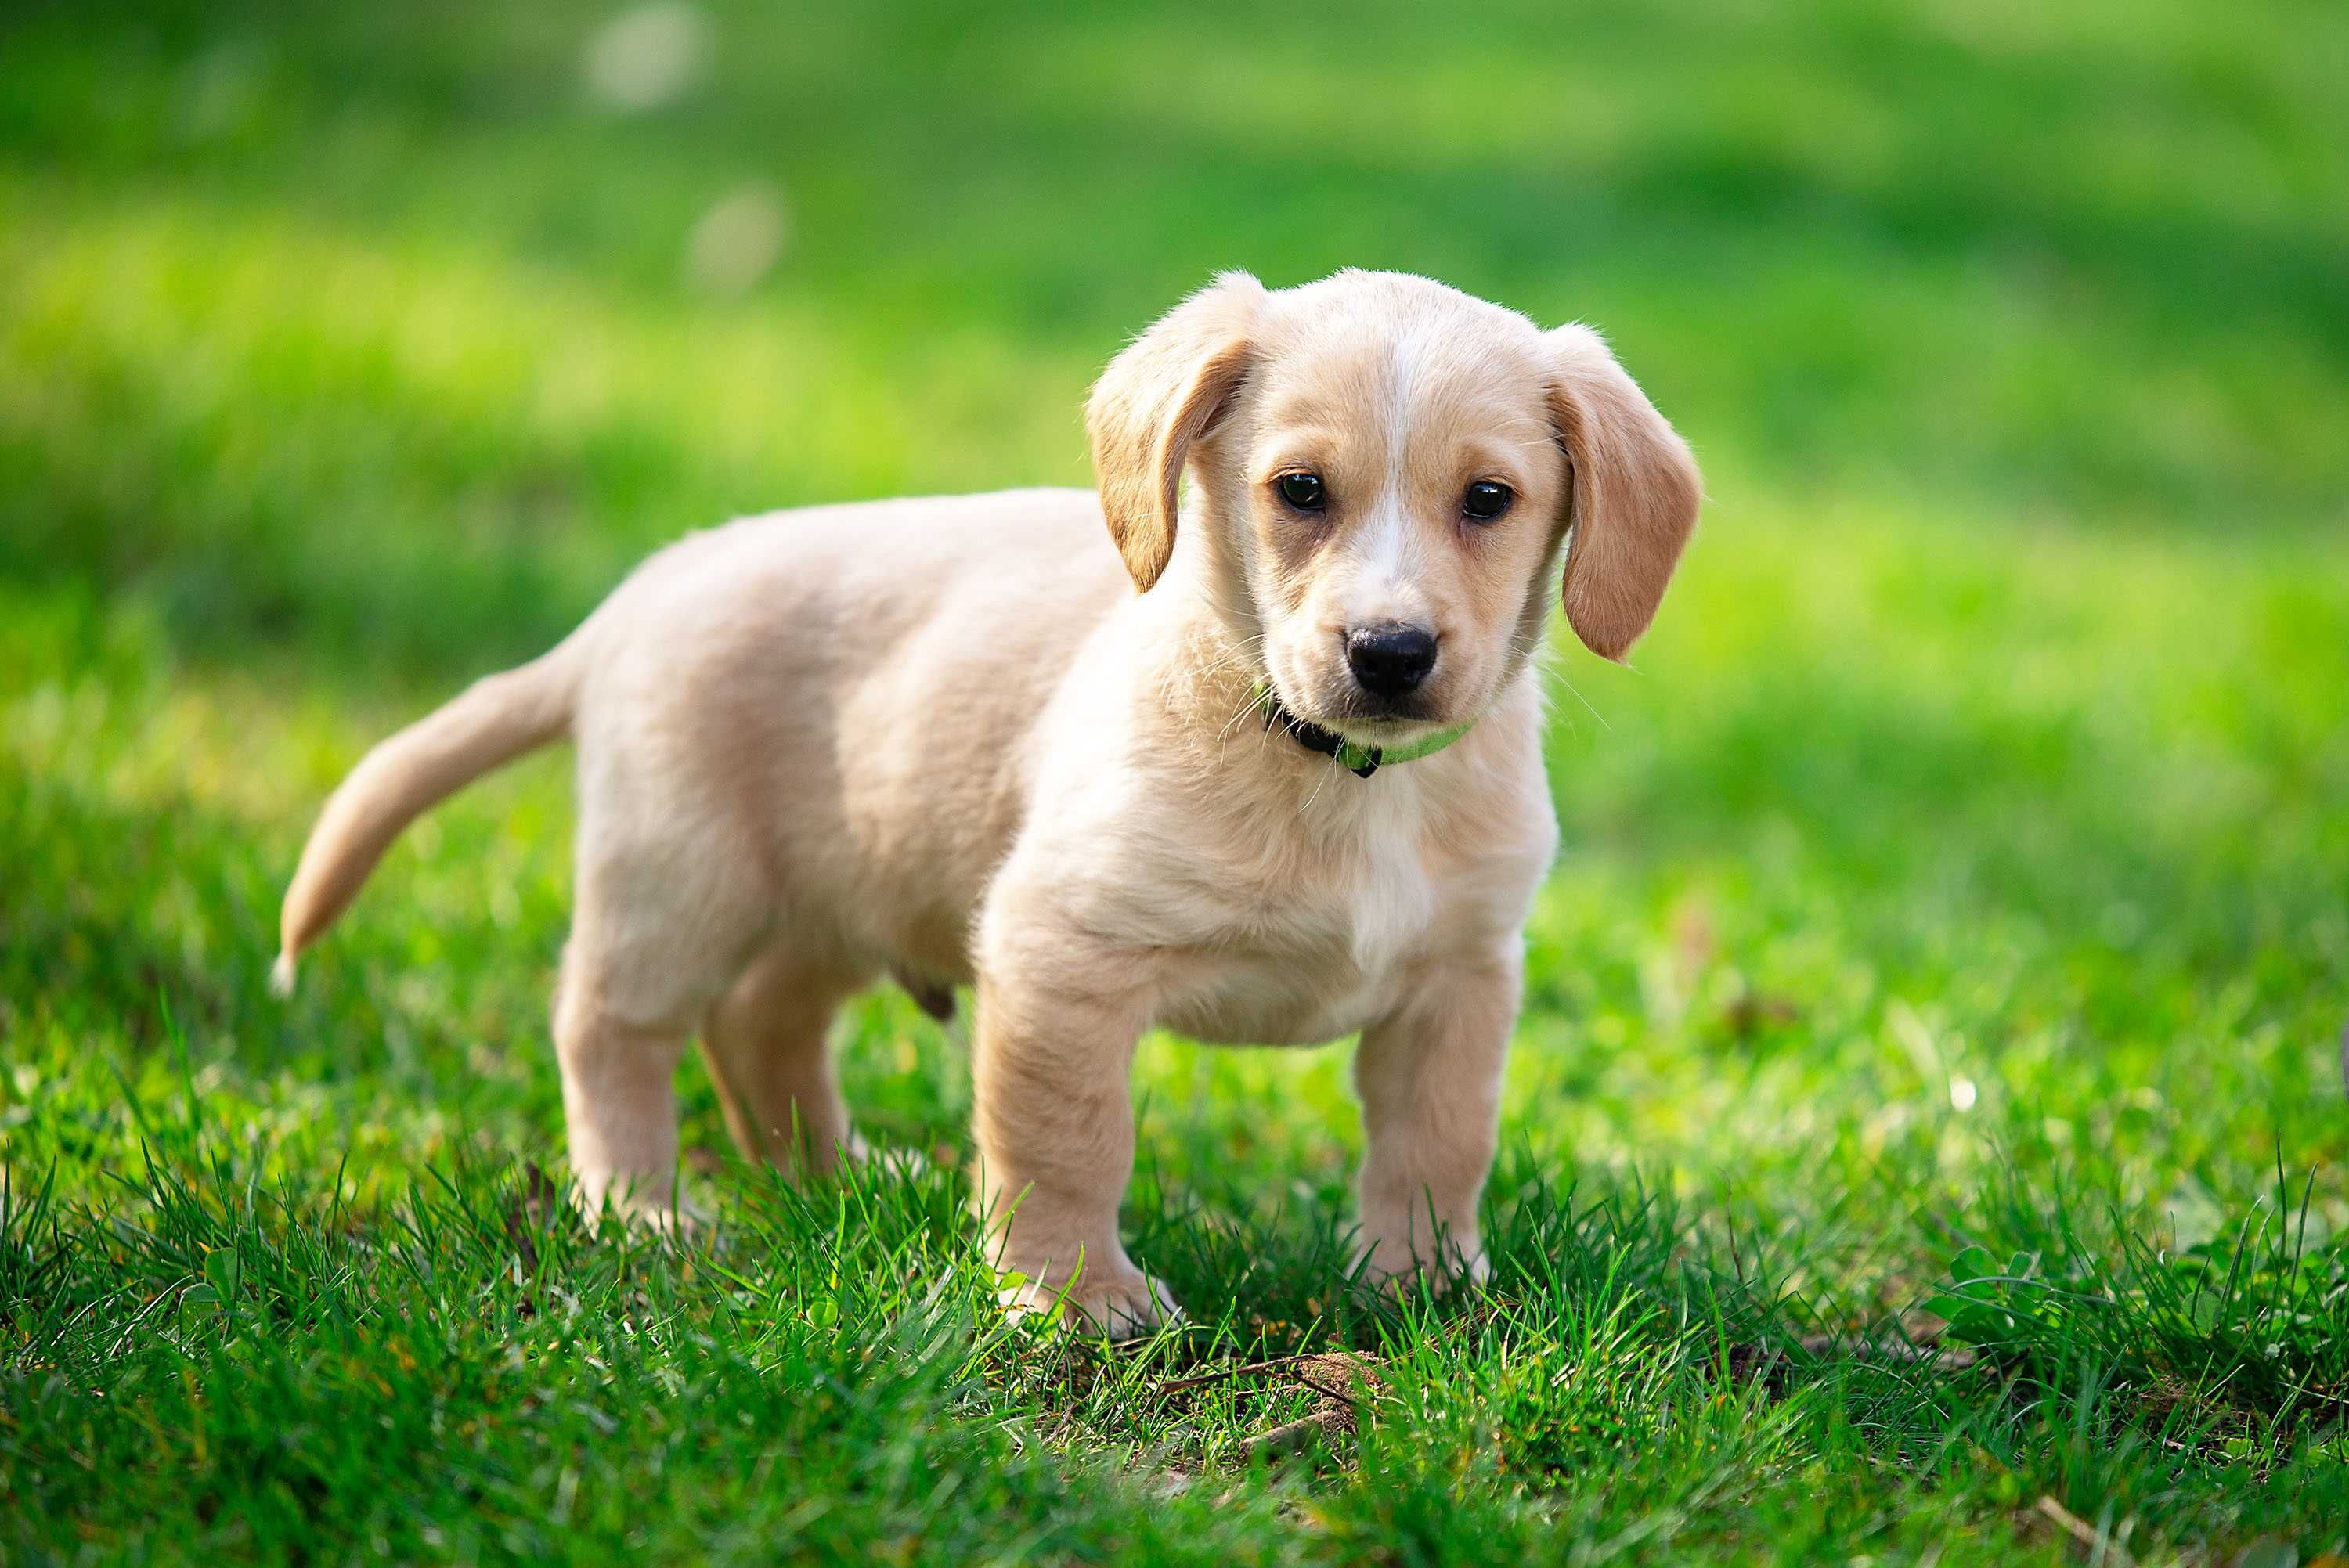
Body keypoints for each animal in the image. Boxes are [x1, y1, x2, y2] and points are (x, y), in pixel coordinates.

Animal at [284, 272, 1701, 1333]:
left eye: (1489, 500)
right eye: (1301, 491)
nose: (1392, 653)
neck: (1326, 769)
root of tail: (643, 591)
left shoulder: (1461, 975)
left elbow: (1436, 1142)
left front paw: (1424, 1284)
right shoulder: (1060, 951)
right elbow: (1070, 1143)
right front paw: (1075, 1299)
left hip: (843, 894)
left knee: (761, 1024)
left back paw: (833, 1175)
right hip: (679, 883)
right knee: (610, 1028)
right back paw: (638, 1205)